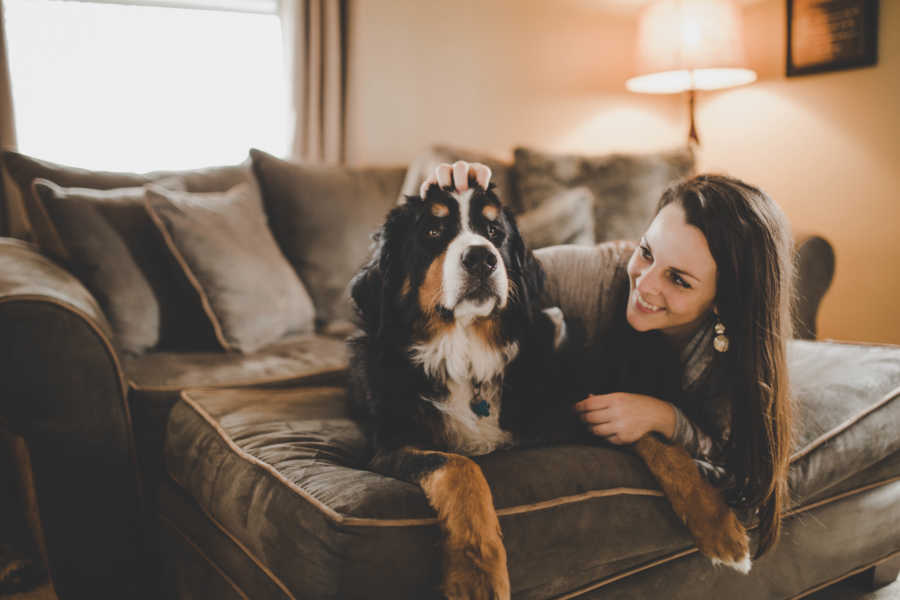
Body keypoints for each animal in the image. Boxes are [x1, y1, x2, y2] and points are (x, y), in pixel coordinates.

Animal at [352, 164, 752, 600]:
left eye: (494, 232)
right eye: (432, 230)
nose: (481, 258)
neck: (465, 350)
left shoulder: (573, 408)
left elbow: (661, 446)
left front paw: (721, 528)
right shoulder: (392, 444)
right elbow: (459, 468)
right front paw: (477, 573)